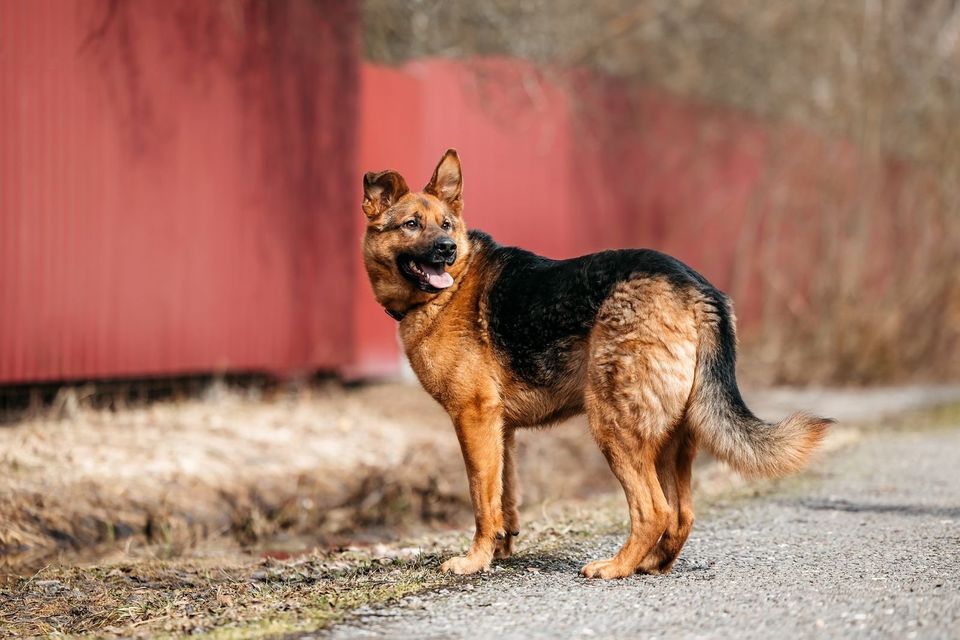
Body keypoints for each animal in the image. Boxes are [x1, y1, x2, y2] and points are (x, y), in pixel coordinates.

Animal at [360, 150, 832, 580]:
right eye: (411, 224)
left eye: (445, 224)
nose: (447, 249)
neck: (448, 288)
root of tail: (697, 289)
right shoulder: (499, 430)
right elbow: (505, 499)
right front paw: (500, 551)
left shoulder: (473, 419)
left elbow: (482, 500)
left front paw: (475, 560)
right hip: (672, 436)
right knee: (681, 514)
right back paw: (650, 564)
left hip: (613, 425)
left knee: (654, 510)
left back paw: (616, 567)